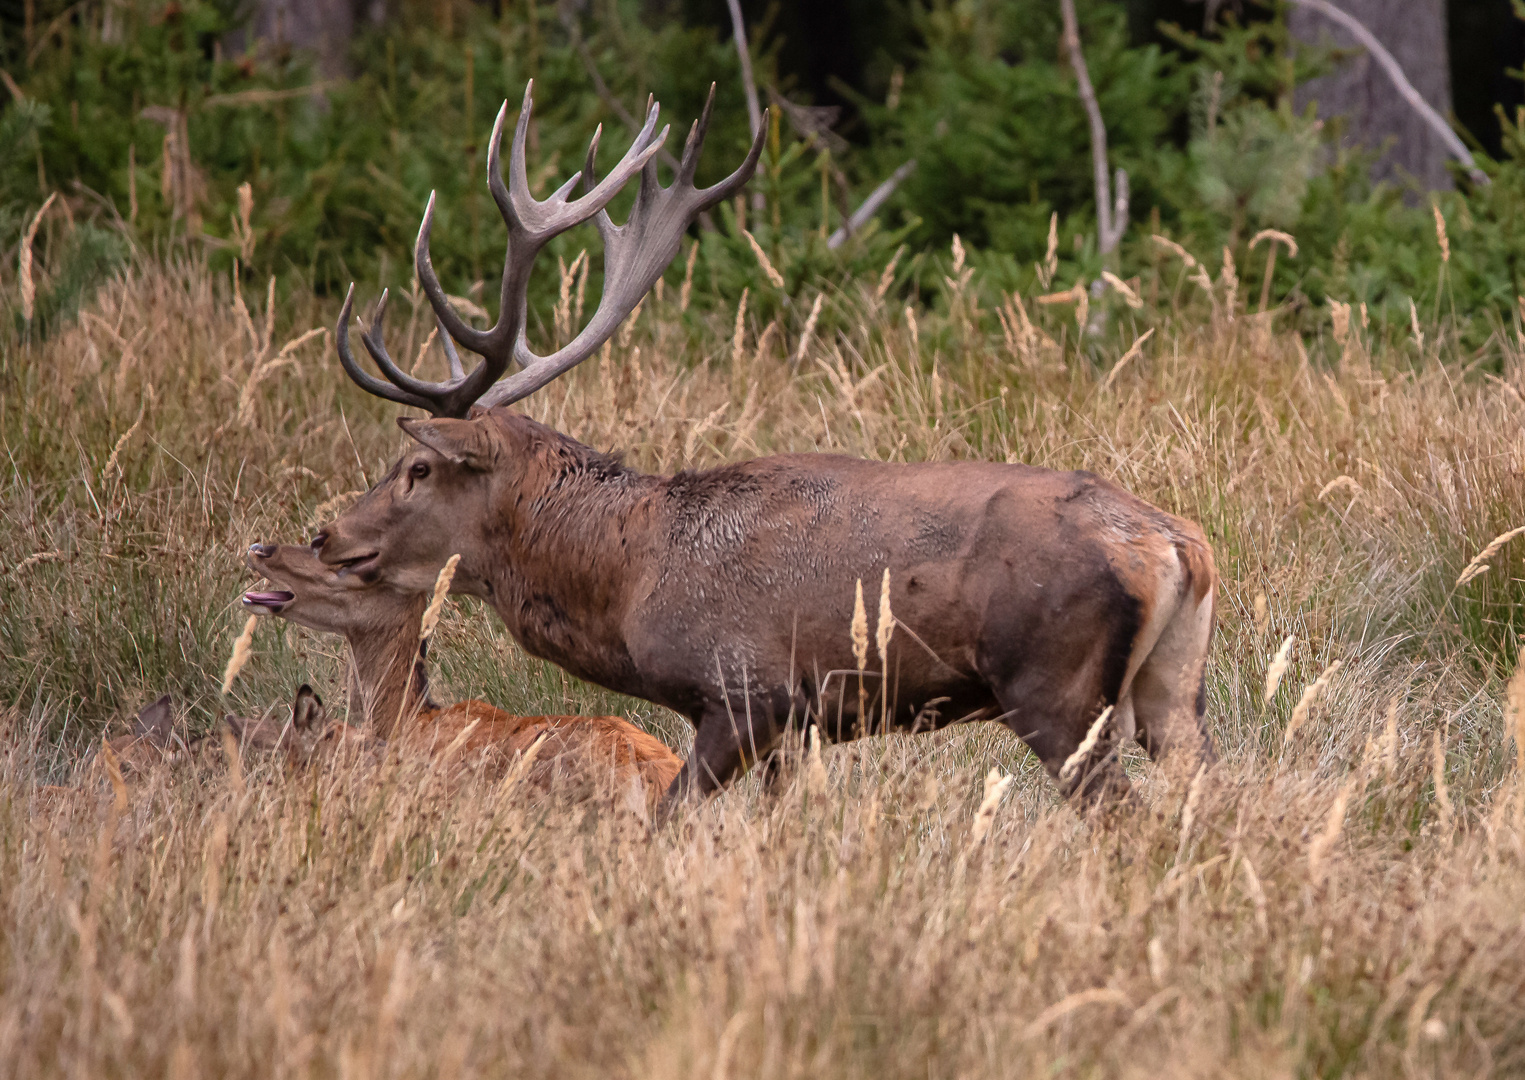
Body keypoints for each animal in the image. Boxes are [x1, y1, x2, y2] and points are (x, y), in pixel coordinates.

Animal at [303, 84, 1220, 805]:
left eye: (417, 468)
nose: (326, 535)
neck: (631, 575)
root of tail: (1177, 546)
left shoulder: (747, 694)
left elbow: (670, 818)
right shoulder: (798, 731)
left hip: (1055, 688)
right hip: (1174, 691)